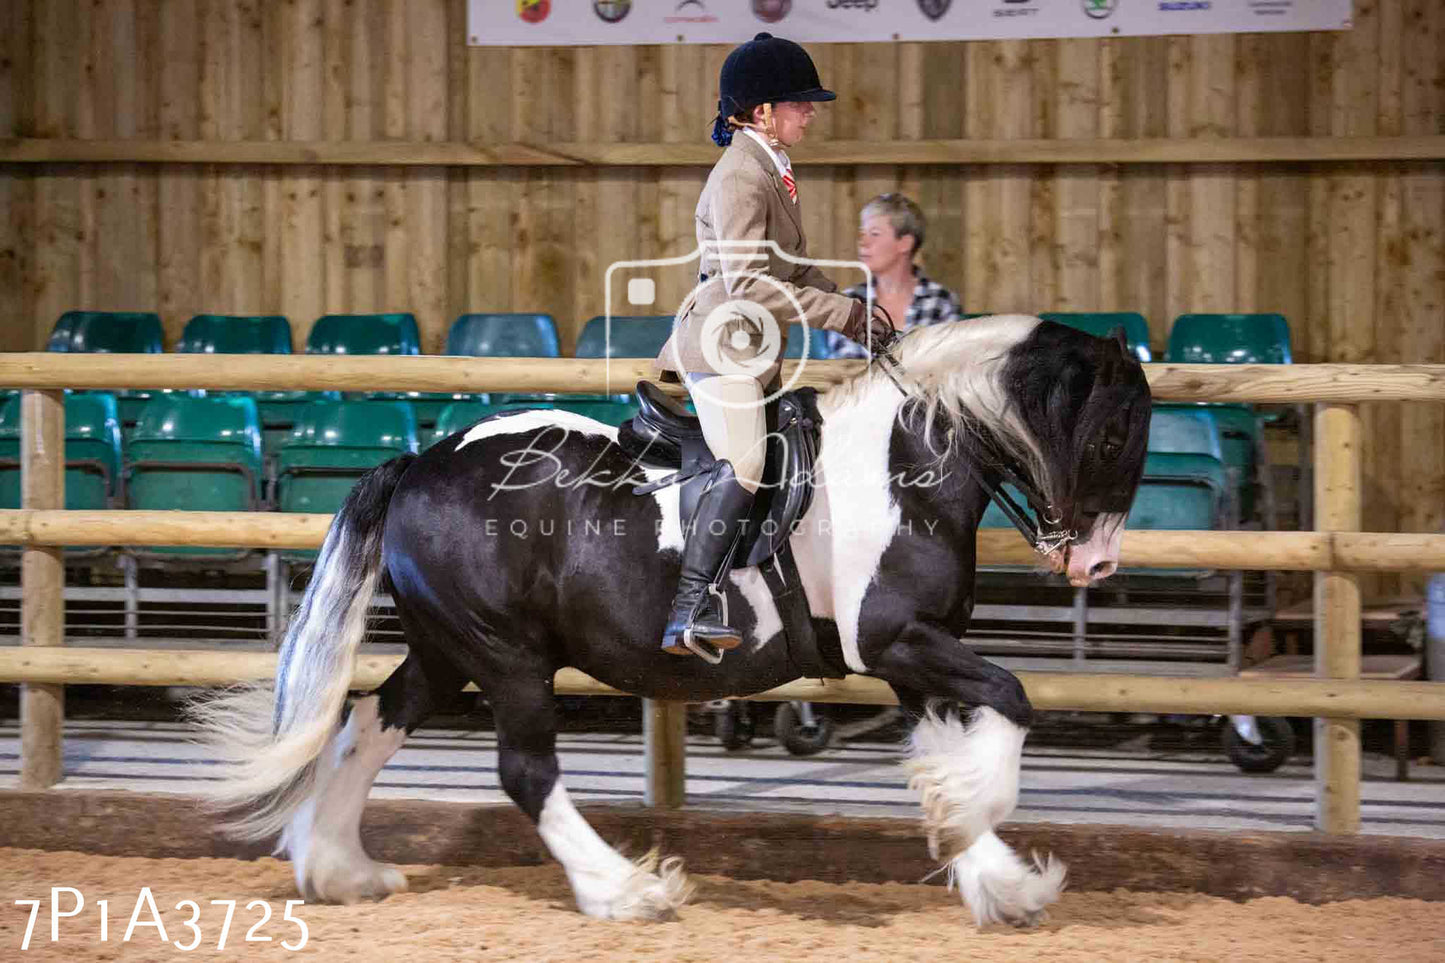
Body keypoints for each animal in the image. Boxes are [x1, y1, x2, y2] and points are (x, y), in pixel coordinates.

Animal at [192, 313, 1156, 925]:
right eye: (1112, 435)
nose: (1095, 564)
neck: (906, 463)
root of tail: (423, 460)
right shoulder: (897, 640)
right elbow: (1011, 701)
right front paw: (987, 835)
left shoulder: (910, 656)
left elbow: (952, 749)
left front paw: (1000, 879)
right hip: (507, 655)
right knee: (525, 771)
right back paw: (626, 890)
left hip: (448, 648)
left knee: (366, 724)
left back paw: (338, 868)